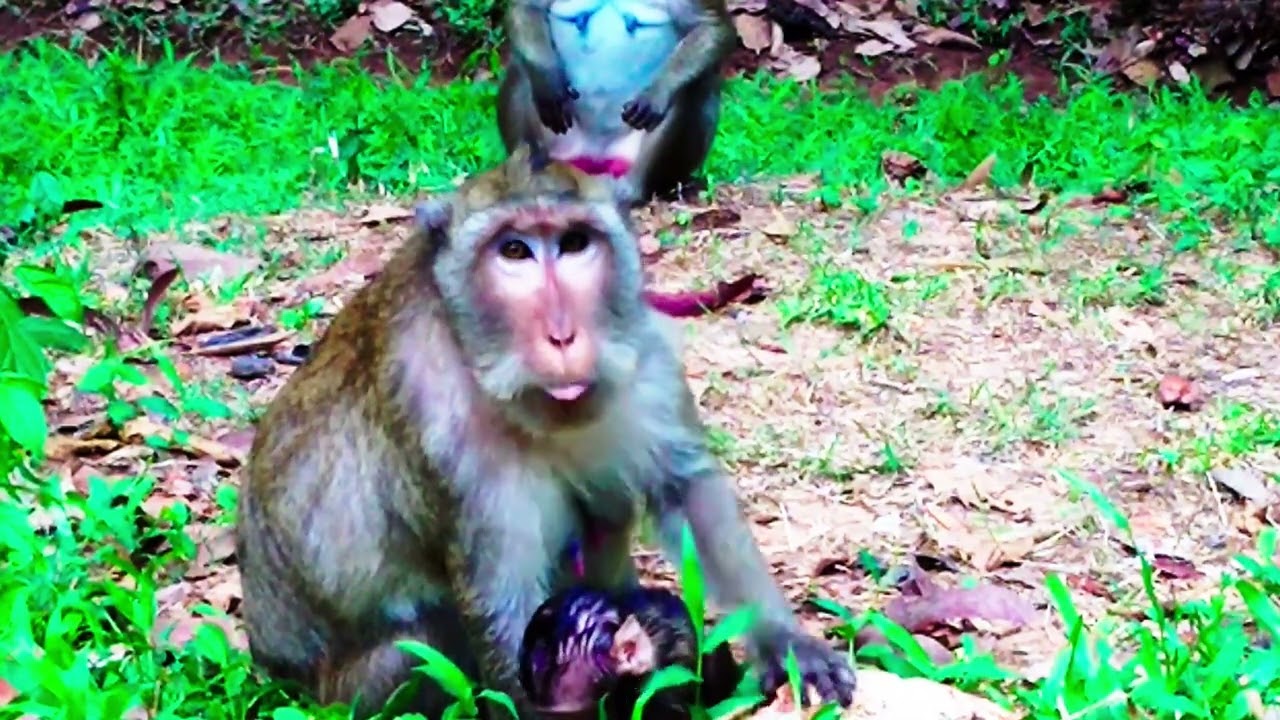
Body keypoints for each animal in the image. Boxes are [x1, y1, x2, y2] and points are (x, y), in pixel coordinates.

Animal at [496, 0, 738, 205]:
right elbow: (527, 7)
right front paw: (549, 79)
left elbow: (712, 25)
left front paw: (658, 92)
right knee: (522, 72)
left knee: (696, 86)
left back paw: (630, 191)